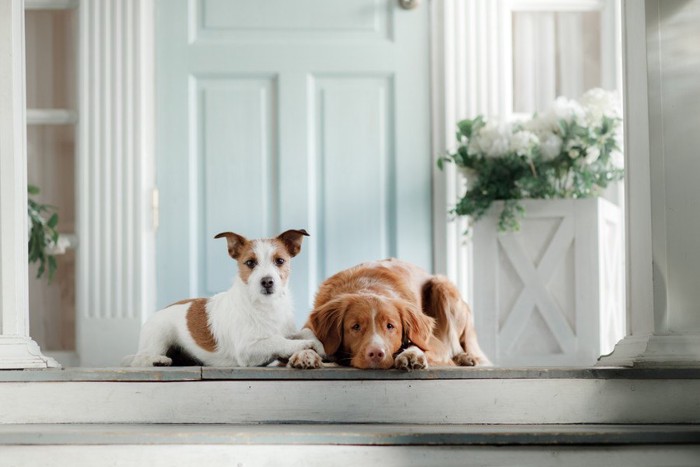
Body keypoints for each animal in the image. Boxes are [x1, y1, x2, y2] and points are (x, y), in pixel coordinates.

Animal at [288, 258, 490, 372]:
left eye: (390, 326)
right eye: (355, 327)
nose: (376, 354)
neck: (366, 286)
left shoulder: (435, 343)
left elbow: (423, 347)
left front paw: (412, 354)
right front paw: (305, 354)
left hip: (442, 286)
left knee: (455, 345)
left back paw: (466, 358)